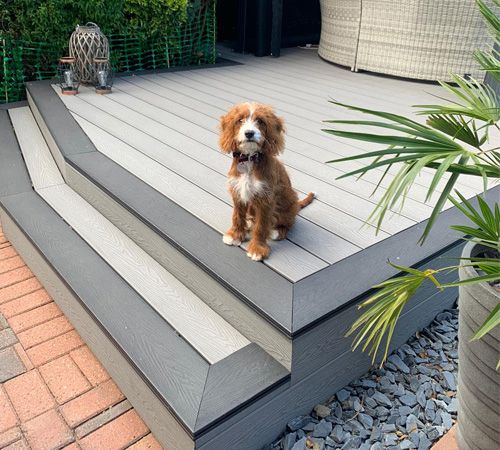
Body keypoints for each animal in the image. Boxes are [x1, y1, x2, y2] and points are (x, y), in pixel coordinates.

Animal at [218, 103, 312, 260]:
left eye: (260, 121)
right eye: (240, 120)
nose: (249, 133)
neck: (249, 159)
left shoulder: (265, 198)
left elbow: (261, 226)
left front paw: (257, 249)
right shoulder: (238, 191)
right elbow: (237, 216)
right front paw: (235, 235)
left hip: (289, 206)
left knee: (287, 224)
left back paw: (276, 231)